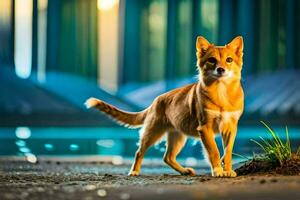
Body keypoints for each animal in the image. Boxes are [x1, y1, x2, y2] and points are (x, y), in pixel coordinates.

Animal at [85, 35, 244, 177]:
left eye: (229, 60)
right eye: (212, 60)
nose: (221, 69)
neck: (221, 92)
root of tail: (155, 101)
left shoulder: (230, 127)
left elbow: (228, 151)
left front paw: (227, 170)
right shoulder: (205, 127)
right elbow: (214, 151)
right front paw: (218, 170)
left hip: (177, 136)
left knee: (167, 157)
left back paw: (184, 171)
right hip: (153, 132)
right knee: (140, 152)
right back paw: (134, 171)